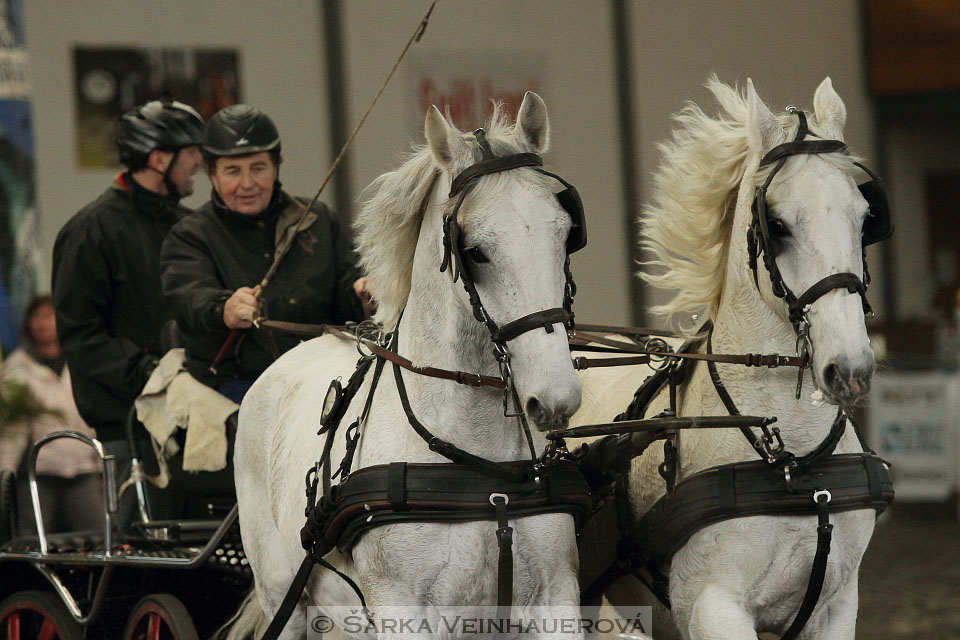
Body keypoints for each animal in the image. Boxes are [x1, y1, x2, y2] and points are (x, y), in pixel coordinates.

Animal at [229, 94, 584, 640]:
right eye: (474, 251)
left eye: (566, 236)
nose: (555, 398)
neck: (483, 475)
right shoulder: (402, 609)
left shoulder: (554, 597)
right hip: (282, 601)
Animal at [576, 77, 884, 636]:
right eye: (777, 224)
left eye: (866, 218)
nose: (849, 370)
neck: (795, 465)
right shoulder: (711, 603)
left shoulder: (835, 606)